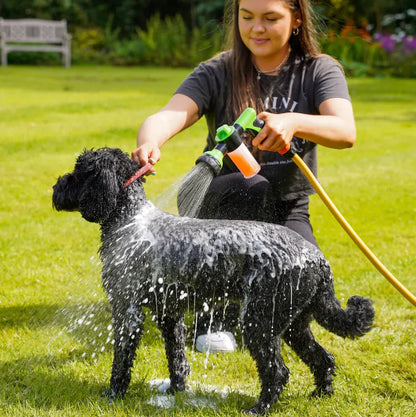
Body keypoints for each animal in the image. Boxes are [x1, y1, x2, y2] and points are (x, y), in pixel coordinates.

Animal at [52, 148, 374, 414]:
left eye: (79, 170)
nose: (55, 187)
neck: (130, 221)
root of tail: (318, 259)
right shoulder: (169, 315)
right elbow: (177, 360)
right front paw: (176, 391)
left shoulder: (127, 311)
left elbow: (121, 362)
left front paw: (113, 394)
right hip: (293, 324)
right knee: (324, 359)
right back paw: (321, 394)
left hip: (259, 322)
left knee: (278, 371)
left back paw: (260, 408)